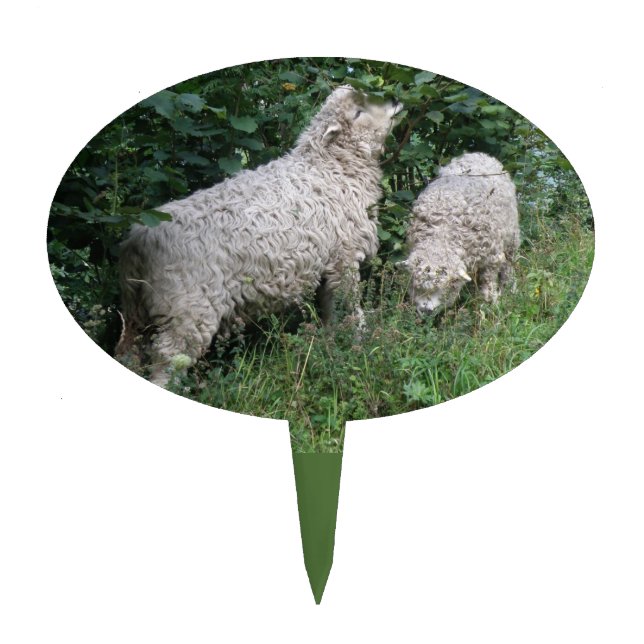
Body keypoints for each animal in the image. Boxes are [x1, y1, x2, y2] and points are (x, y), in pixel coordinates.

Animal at [116, 85, 403, 385]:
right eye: (358, 112)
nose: (395, 100)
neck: (331, 167)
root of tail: (137, 240)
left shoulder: (328, 262)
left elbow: (328, 307)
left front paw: (331, 340)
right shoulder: (343, 257)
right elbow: (348, 304)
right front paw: (359, 339)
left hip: (138, 311)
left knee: (129, 350)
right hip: (187, 309)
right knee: (168, 359)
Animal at [401, 152, 520, 314]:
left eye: (442, 288)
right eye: (417, 286)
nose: (426, 310)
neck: (442, 232)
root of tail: (477, 154)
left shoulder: (492, 259)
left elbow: (488, 284)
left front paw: (490, 304)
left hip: (512, 238)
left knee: (509, 265)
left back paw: (509, 288)